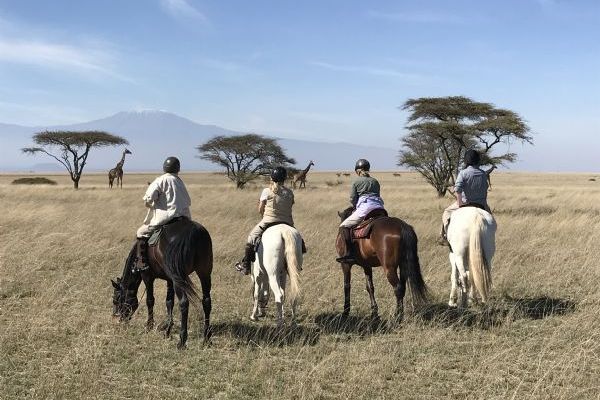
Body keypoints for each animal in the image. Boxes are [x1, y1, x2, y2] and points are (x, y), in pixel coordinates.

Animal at [111, 217, 212, 348]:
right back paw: (207, 339)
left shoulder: (147, 276)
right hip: (204, 273)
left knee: (184, 303)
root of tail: (193, 232)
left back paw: (182, 341)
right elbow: (169, 302)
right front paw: (167, 330)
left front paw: (149, 326)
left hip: (179, 279)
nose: (118, 319)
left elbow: (150, 300)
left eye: (116, 299)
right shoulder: (169, 280)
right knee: (207, 302)